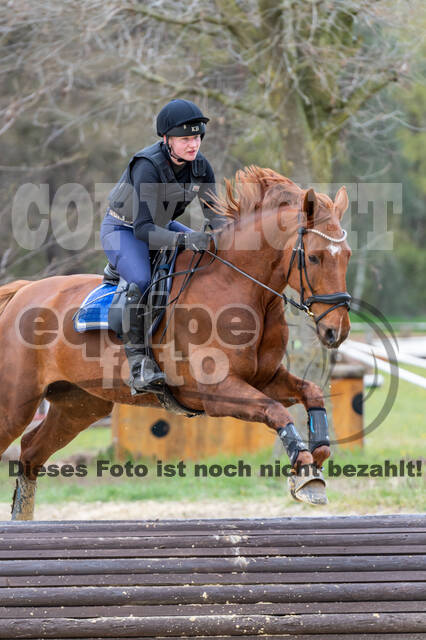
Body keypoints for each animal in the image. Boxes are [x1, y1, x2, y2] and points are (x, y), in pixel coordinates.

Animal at [0, 168, 352, 516]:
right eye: (315, 258)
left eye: (347, 256)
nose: (337, 330)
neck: (238, 286)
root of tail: (22, 292)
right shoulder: (215, 391)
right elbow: (275, 411)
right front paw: (305, 469)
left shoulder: (263, 378)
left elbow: (311, 392)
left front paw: (318, 458)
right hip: (17, 403)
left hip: (78, 404)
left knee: (31, 451)